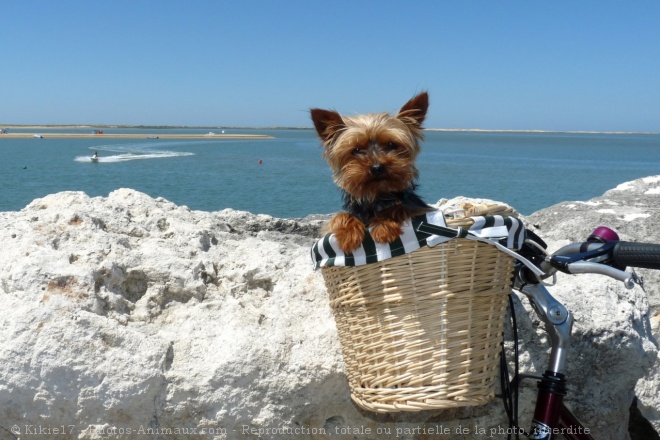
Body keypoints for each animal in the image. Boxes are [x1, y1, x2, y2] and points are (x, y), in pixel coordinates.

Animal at [310, 90, 434, 253]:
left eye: (391, 145)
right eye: (356, 150)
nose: (377, 167)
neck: (377, 196)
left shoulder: (420, 209)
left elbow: (398, 206)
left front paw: (384, 225)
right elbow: (340, 216)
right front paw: (348, 234)